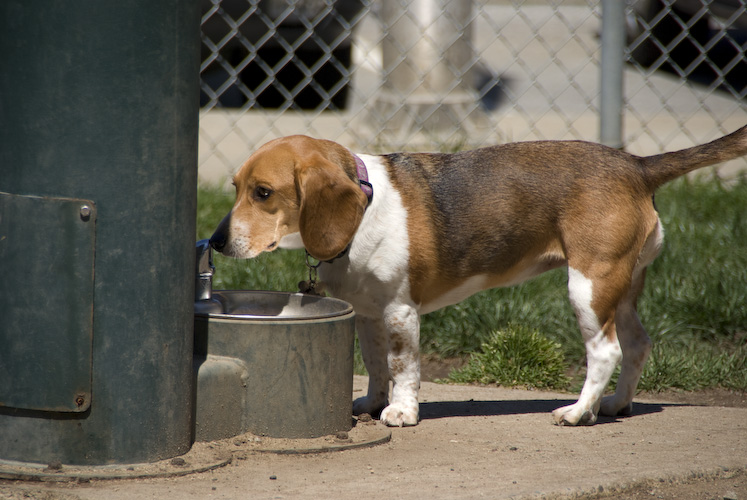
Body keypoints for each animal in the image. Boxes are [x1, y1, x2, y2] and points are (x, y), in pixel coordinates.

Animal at [209, 125, 747, 426]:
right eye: (235, 187)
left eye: (262, 193)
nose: (215, 242)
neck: (364, 205)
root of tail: (637, 164)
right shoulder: (367, 314)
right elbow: (377, 364)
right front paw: (373, 401)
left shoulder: (400, 312)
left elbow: (403, 367)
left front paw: (401, 412)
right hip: (624, 289)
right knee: (637, 345)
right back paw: (616, 405)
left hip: (589, 287)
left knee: (606, 351)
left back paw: (579, 413)